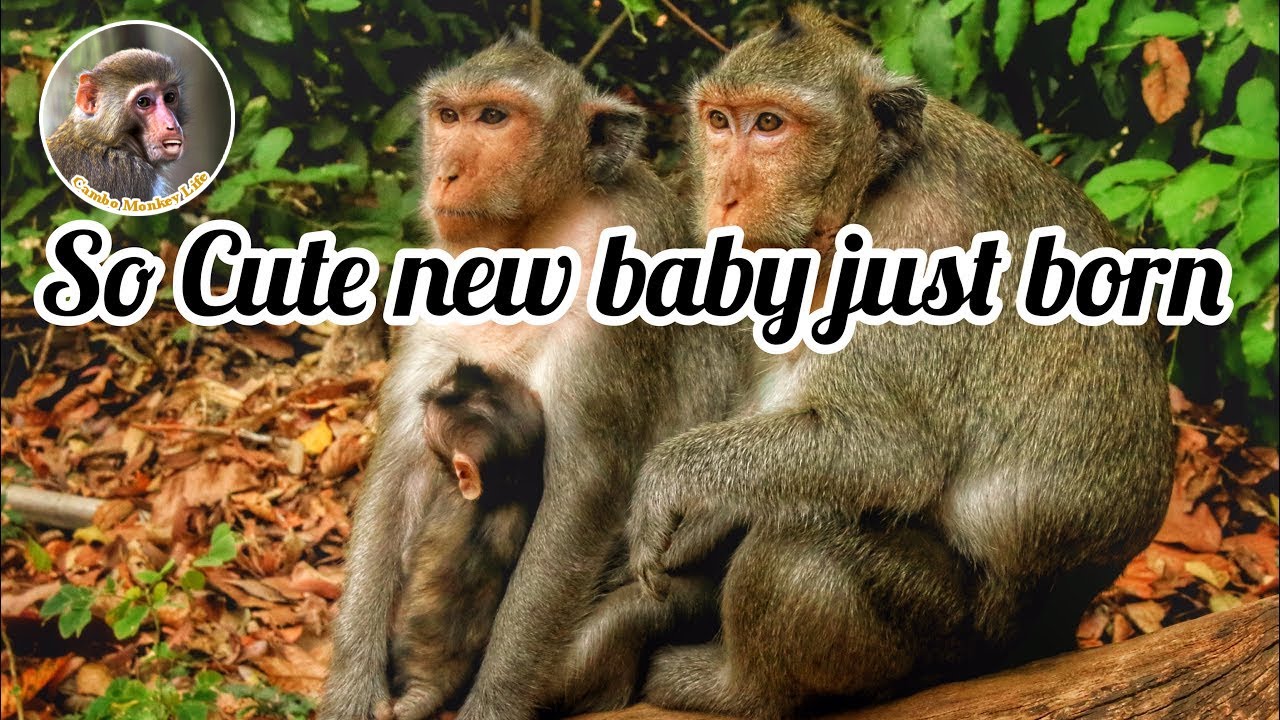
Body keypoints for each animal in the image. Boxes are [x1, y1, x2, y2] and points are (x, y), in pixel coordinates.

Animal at [569, 6, 1174, 718]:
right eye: (719, 121)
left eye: (770, 124)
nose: (722, 198)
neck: (864, 193)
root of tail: (1055, 628)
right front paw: (694, 525)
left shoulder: (926, 241)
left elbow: (886, 450)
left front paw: (668, 481)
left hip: (949, 634)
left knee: (803, 545)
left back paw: (737, 689)